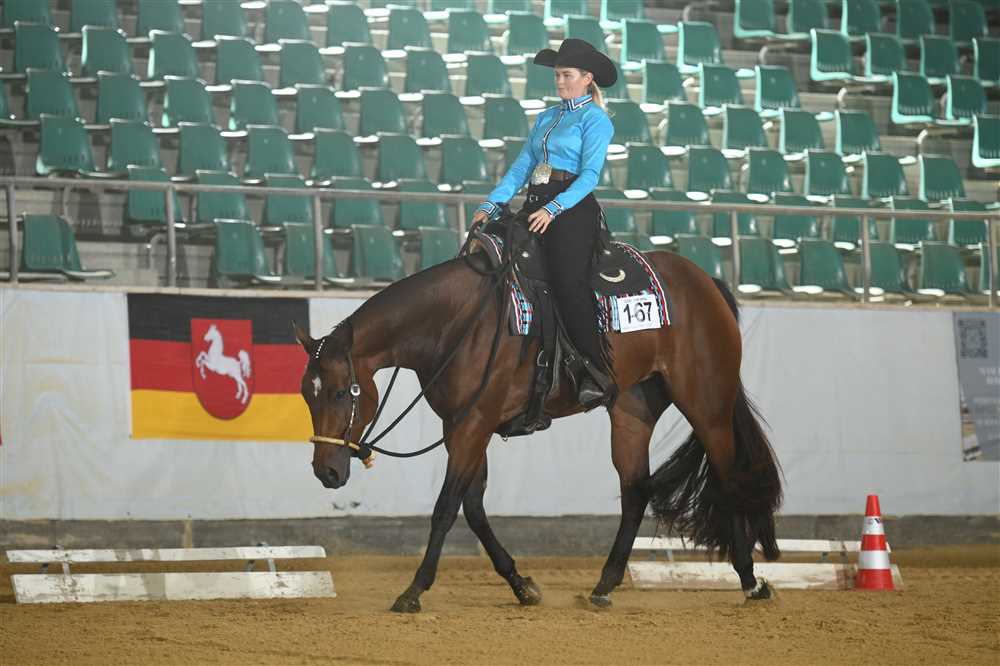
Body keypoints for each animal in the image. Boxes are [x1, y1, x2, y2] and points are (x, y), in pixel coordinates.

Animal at [294, 248, 783, 612]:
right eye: (305, 394)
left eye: (338, 392)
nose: (325, 472)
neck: (458, 322)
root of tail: (705, 281)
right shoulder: (461, 426)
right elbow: (474, 509)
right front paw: (521, 584)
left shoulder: (473, 424)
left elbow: (447, 507)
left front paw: (414, 590)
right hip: (632, 409)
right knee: (635, 490)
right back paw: (604, 586)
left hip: (707, 404)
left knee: (727, 478)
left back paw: (750, 581)